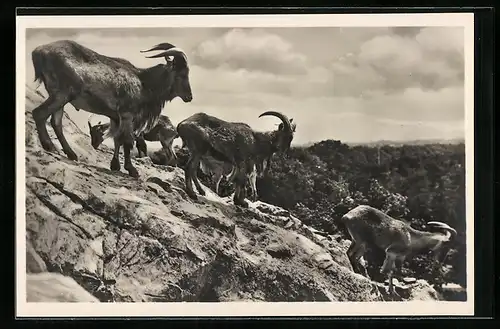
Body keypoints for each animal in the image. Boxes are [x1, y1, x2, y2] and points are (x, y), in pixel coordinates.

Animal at [30, 40, 192, 178]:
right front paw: (131, 170)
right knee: (39, 113)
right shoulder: (127, 114)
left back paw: (71, 154)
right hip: (62, 94)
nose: (189, 97)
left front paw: (115, 166)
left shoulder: (116, 118)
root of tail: (38, 52)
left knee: (56, 122)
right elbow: (127, 141)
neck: (144, 82)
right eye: (182, 74)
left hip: (60, 97)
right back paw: (50, 146)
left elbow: (117, 140)